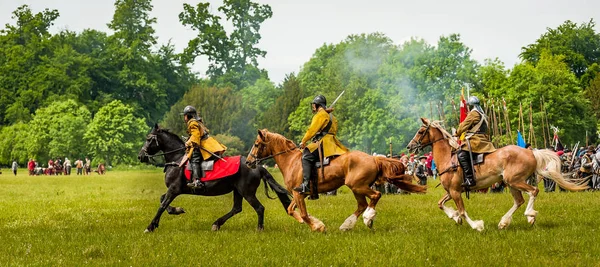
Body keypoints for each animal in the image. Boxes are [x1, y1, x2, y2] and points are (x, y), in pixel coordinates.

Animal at [139, 124, 292, 233]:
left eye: (148, 139)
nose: (140, 156)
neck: (177, 159)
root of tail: (256, 166)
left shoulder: (174, 189)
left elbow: (162, 205)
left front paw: (150, 227)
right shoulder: (174, 190)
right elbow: (162, 200)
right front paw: (176, 210)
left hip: (247, 192)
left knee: (259, 208)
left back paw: (259, 229)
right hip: (238, 191)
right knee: (237, 208)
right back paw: (216, 224)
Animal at [245, 129, 426, 232]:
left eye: (257, 144)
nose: (248, 162)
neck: (291, 161)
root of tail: (374, 159)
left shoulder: (299, 194)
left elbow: (303, 214)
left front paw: (317, 227)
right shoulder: (299, 195)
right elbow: (291, 210)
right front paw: (312, 222)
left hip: (358, 186)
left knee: (375, 196)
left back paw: (368, 219)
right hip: (357, 189)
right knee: (362, 205)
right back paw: (348, 225)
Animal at [406, 118, 588, 231]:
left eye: (421, 131)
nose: (409, 146)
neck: (447, 159)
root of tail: (531, 152)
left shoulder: (456, 192)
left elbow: (463, 211)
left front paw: (476, 226)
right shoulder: (451, 191)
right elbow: (440, 204)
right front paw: (454, 217)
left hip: (514, 181)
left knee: (533, 191)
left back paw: (529, 215)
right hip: (511, 183)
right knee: (519, 200)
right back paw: (504, 222)